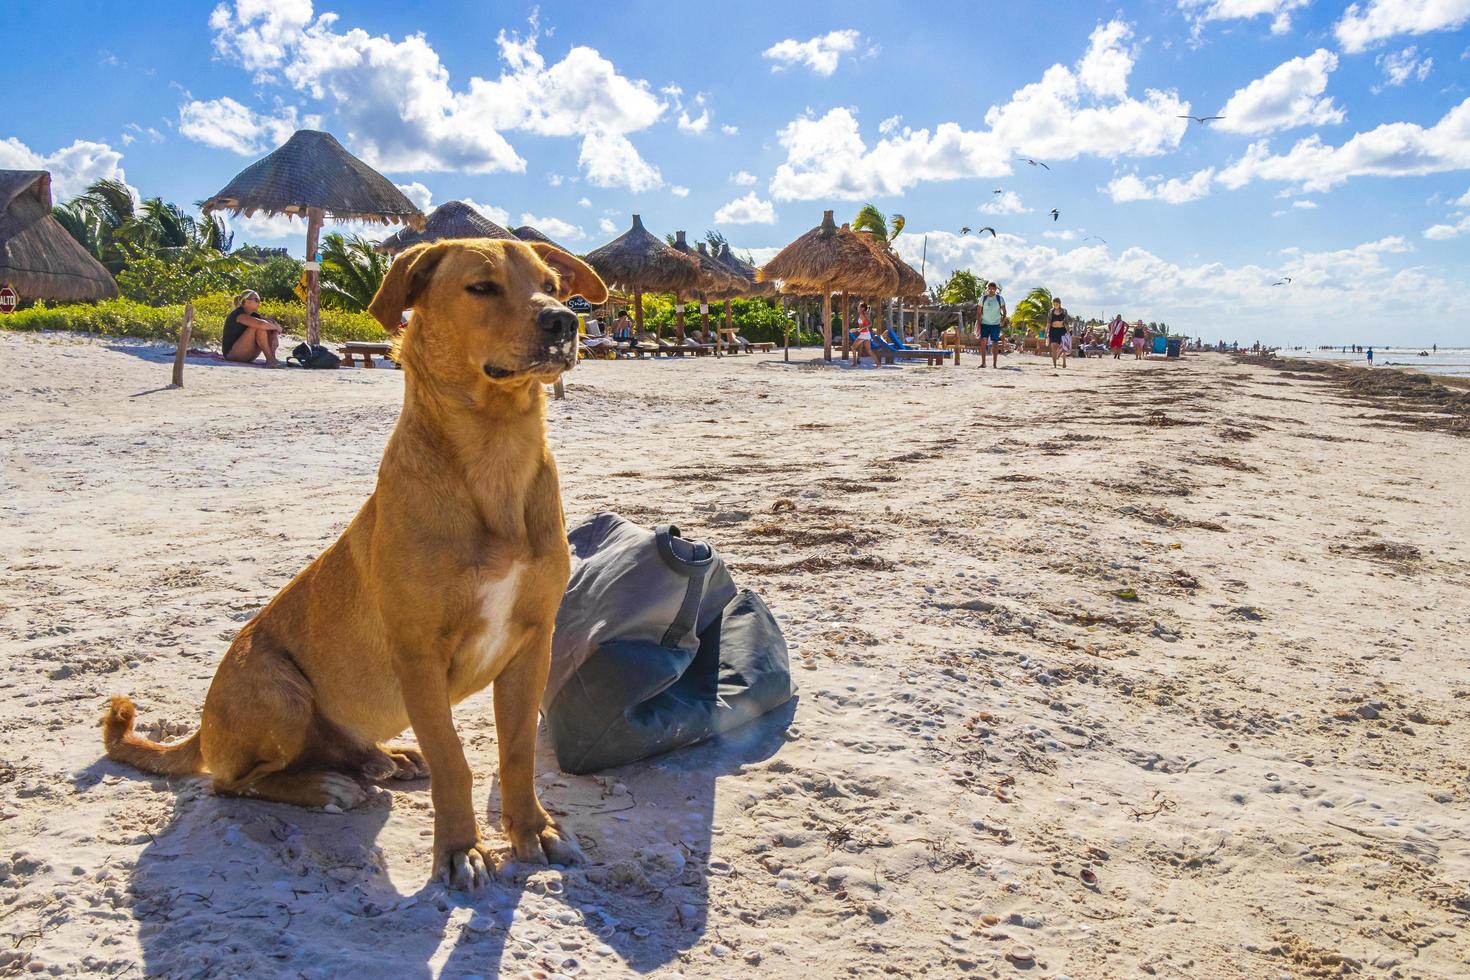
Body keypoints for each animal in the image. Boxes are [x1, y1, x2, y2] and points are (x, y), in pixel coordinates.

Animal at [103, 240, 605, 893]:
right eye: (482, 287)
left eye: (552, 285)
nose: (565, 322)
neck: (496, 453)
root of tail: (203, 729)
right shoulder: (419, 655)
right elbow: (454, 762)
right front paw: (460, 848)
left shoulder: (532, 643)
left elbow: (516, 755)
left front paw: (532, 830)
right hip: (279, 694)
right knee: (231, 782)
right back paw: (324, 784)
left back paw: (383, 759)